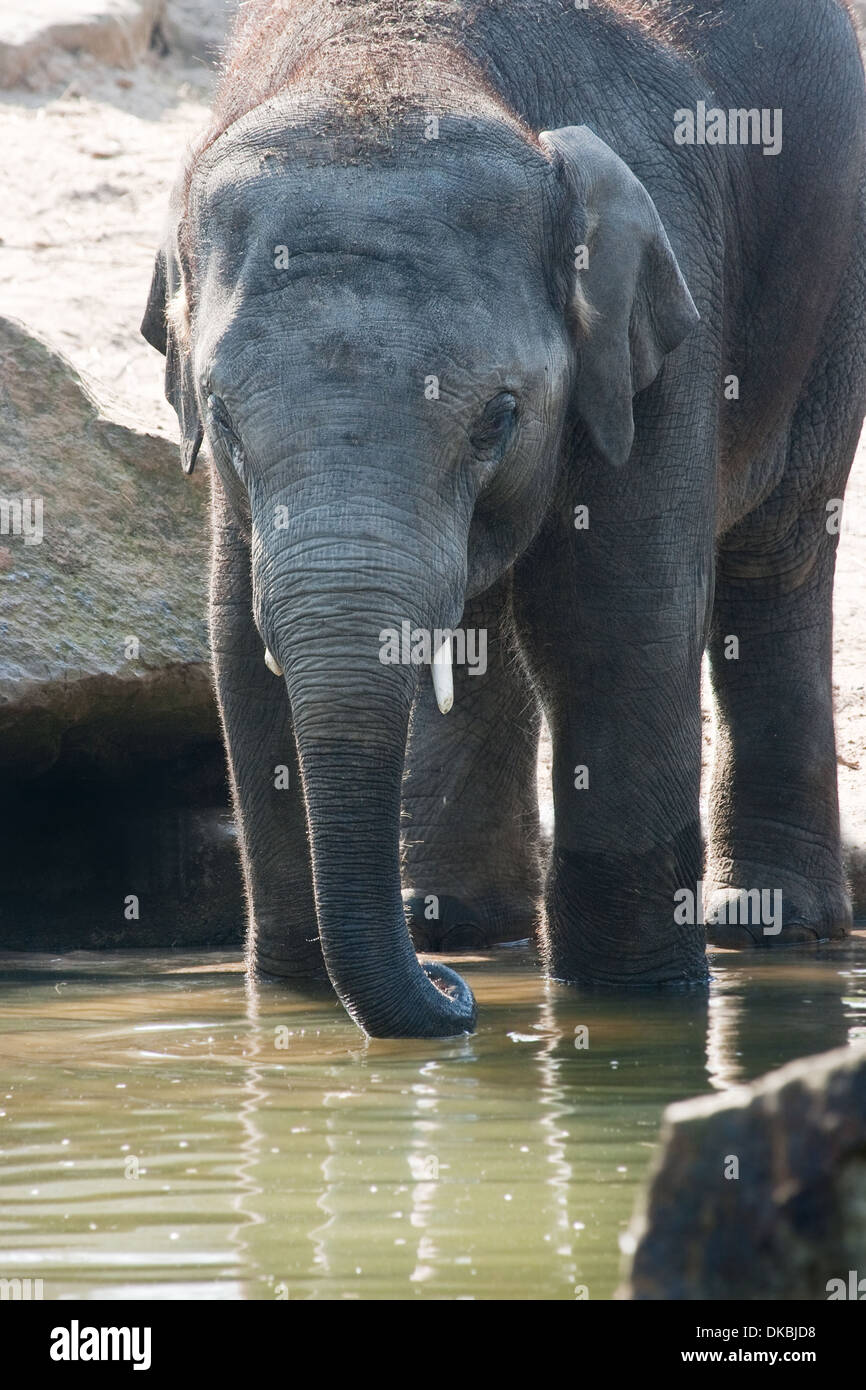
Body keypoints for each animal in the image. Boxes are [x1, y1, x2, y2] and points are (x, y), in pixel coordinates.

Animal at [142, 0, 866, 1039]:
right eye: (224, 419)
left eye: (499, 416)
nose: (457, 1000)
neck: (398, 57)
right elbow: (240, 648)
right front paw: (294, 996)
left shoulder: (657, 323)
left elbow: (613, 624)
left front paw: (635, 1005)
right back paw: (451, 923)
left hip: (832, 277)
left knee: (777, 557)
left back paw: (769, 926)